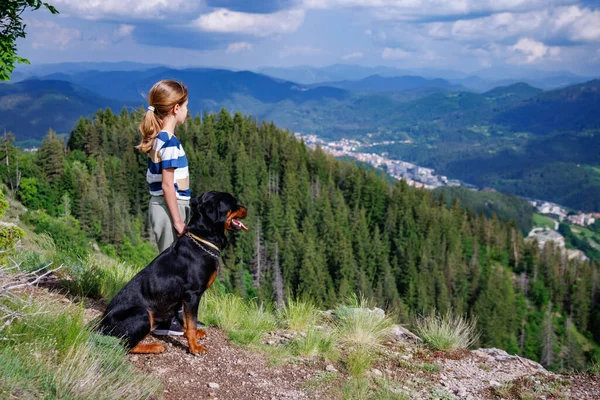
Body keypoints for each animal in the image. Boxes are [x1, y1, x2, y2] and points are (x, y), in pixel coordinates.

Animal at [98, 192, 246, 354]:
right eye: (234, 203)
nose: (246, 209)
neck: (203, 238)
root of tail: (100, 327)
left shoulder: (186, 299)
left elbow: (188, 322)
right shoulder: (192, 294)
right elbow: (192, 322)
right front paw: (194, 347)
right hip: (141, 313)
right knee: (125, 345)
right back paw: (154, 347)